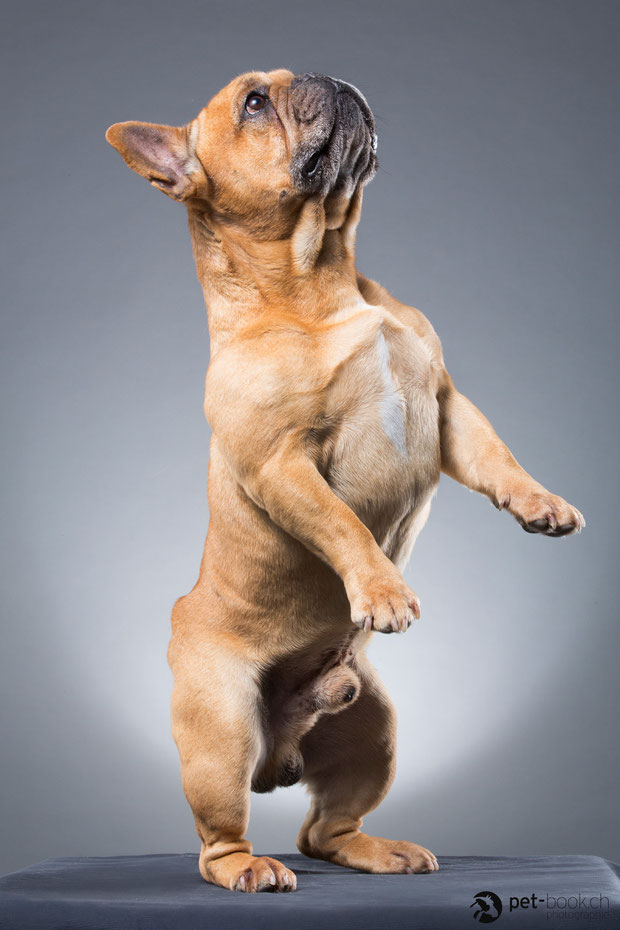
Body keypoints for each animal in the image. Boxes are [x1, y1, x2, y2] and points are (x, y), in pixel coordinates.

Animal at [104, 70, 584, 892]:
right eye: (254, 103)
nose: (328, 80)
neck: (320, 278)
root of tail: (278, 751)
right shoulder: (283, 464)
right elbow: (345, 524)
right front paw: (383, 589)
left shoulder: (446, 404)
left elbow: (496, 456)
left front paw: (540, 503)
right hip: (219, 730)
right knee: (218, 837)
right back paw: (248, 868)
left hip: (373, 728)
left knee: (325, 829)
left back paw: (378, 851)